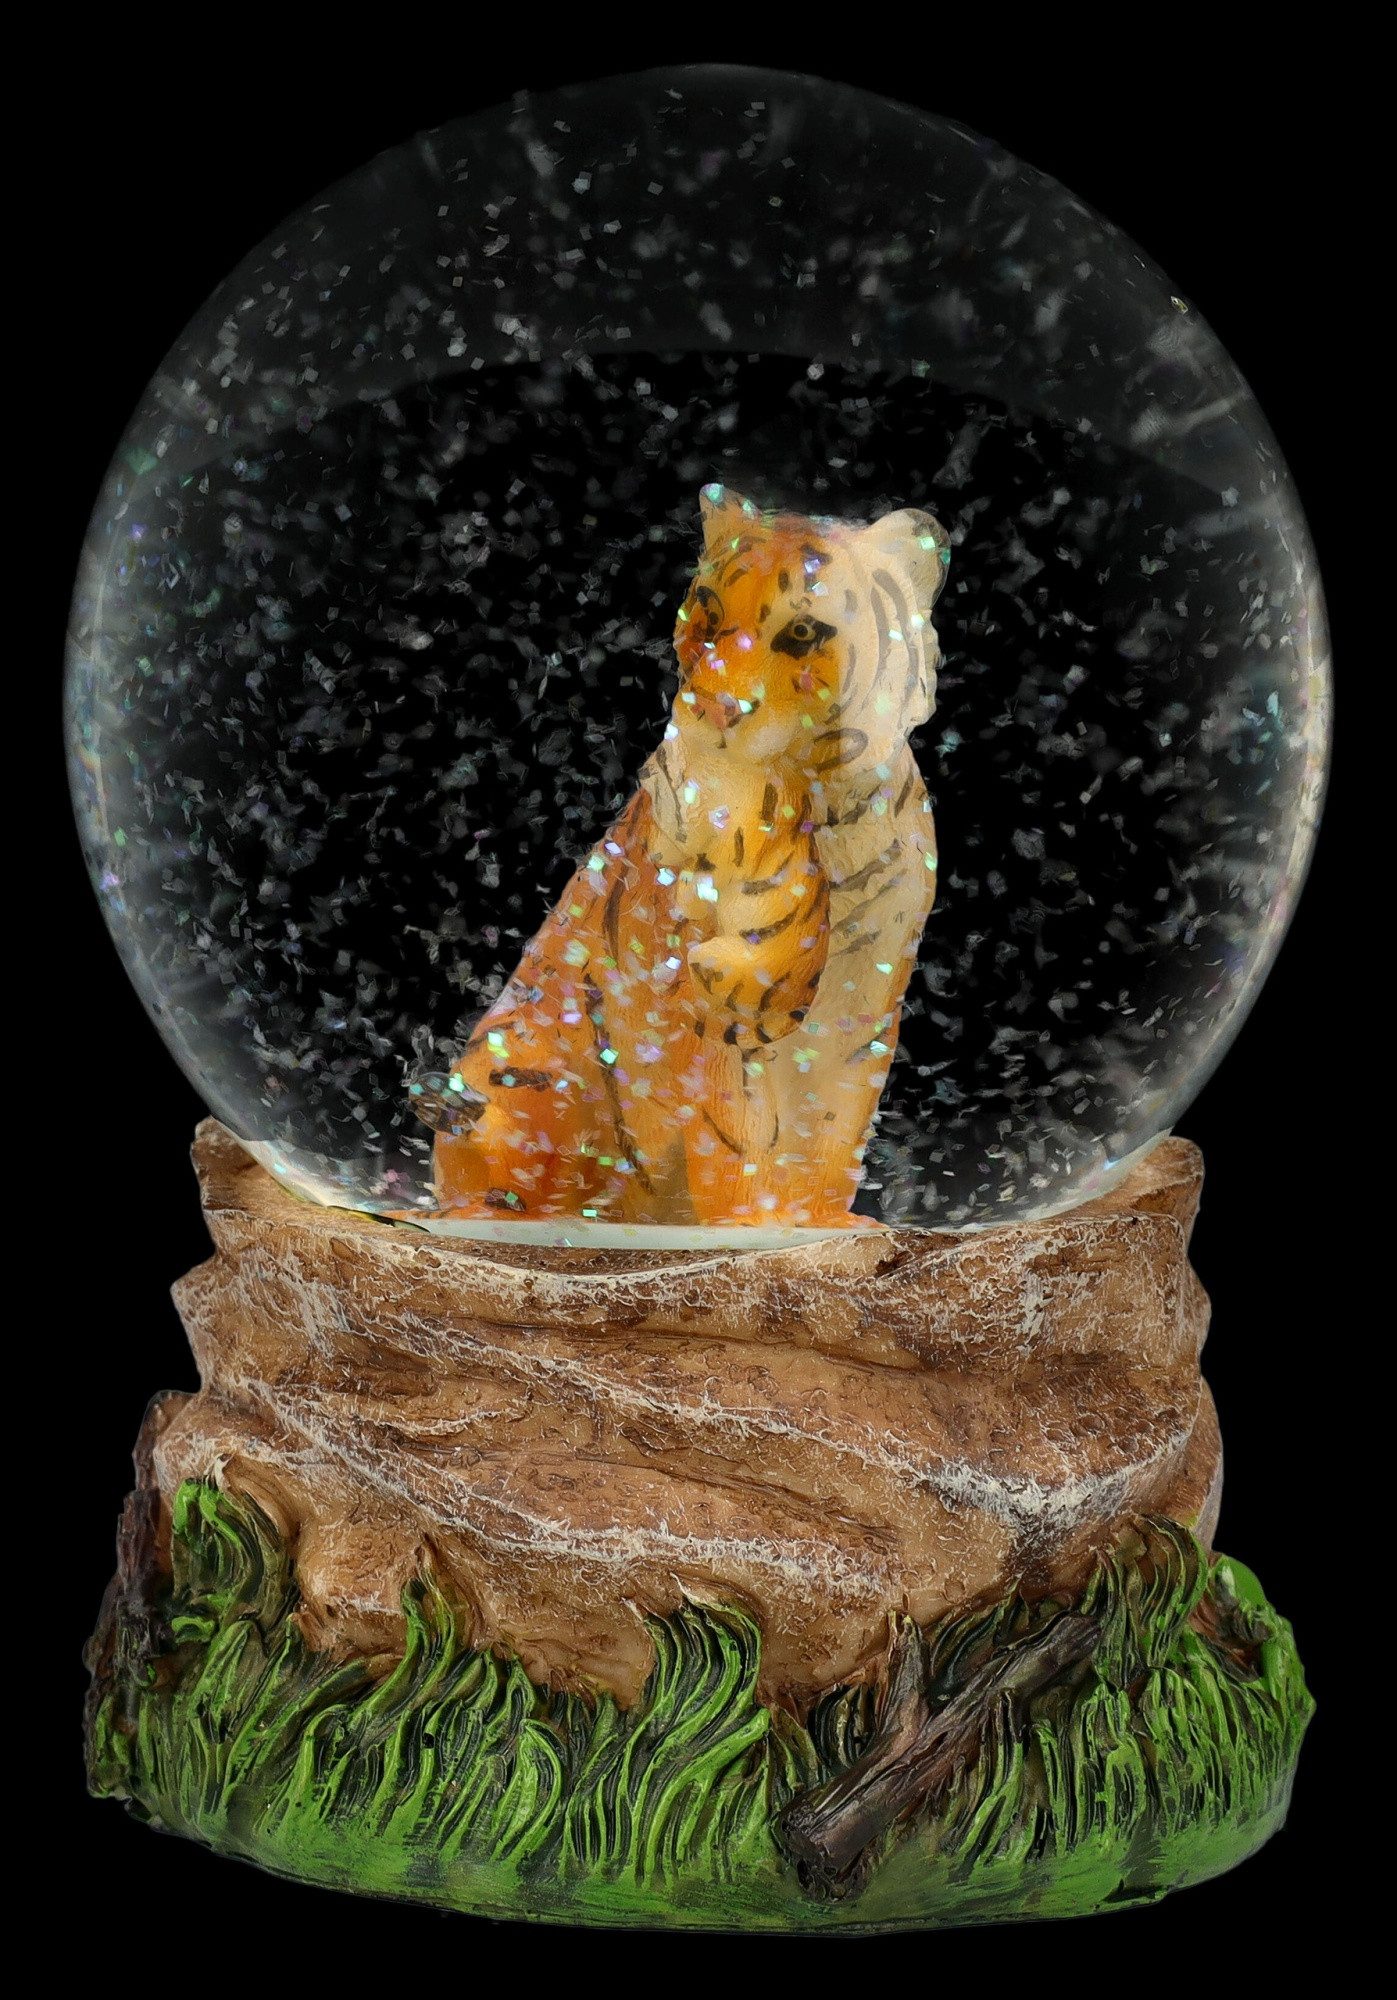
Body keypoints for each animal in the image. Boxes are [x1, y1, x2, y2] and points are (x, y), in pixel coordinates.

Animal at [415, 484, 949, 1228]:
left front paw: (820, 1221)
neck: (826, 812)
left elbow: (834, 1128)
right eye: (710, 612)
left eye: (802, 633)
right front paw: (752, 1224)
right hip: (521, 1055)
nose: (718, 709)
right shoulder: (701, 1011)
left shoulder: (866, 998)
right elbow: (733, 1135)